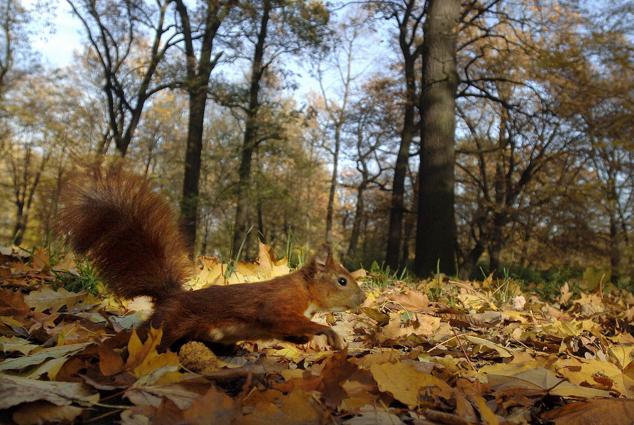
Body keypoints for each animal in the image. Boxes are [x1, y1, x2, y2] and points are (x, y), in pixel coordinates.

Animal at [59, 167, 366, 350]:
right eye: (342, 280)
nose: (363, 299)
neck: (306, 290)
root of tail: (172, 297)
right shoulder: (280, 303)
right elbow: (281, 317)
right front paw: (329, 333)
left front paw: (312, 338)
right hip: (168, 323)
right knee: (145, 334)